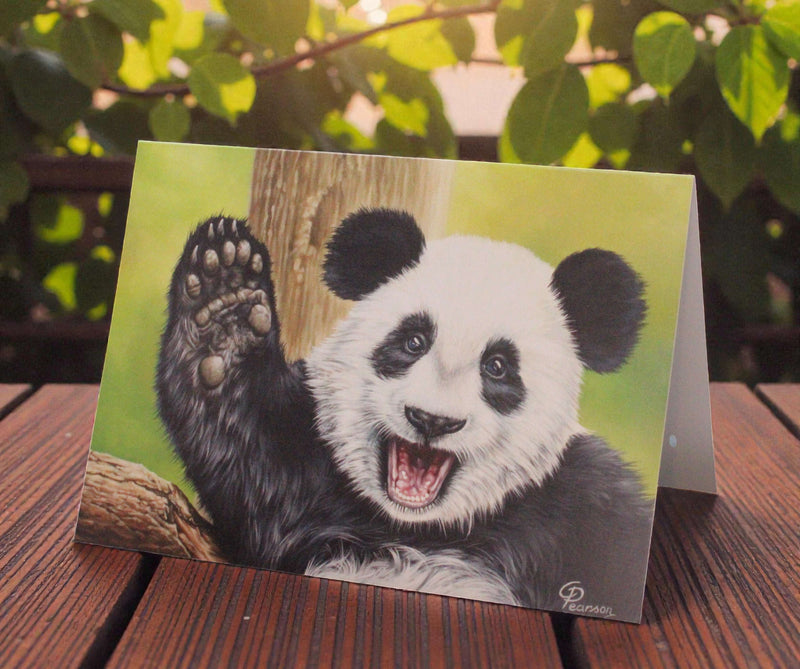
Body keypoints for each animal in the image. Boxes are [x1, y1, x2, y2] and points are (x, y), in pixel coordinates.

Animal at [157, 207, 653, 619]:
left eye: (497, 366)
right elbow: (250, 460)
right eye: (413, 341)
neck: (421, 527)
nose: (432, 420)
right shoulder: (308, 472)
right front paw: (225, 301)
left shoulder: (580, 503)